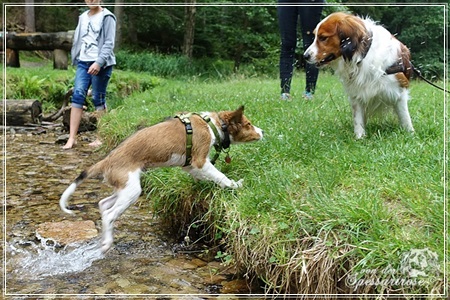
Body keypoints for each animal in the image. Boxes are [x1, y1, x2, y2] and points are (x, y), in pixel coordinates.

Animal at [60, 106, 264, 252]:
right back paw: (107, 243)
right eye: (248, 124)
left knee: (103, 204)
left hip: (125, 187)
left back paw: (104, 239)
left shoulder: (190, 166)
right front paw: (235, 185)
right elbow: (221, 176)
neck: (212, 124)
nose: (262, 132)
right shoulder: (200, 161)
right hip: (131, 190)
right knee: (110, 214)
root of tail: (106, 160)